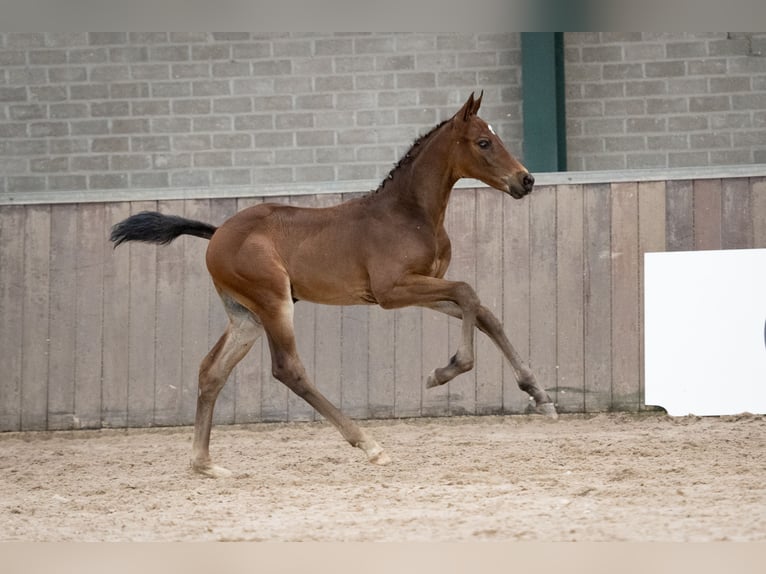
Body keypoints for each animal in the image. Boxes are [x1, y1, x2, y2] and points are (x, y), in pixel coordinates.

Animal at [112, 92, 560, 476]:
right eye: (484, 142)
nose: (526, 181)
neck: (408, 213)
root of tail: (219, 232)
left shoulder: (424, 285)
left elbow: (482, 310)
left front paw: (538, 394)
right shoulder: (391, 291)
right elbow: (468, 292)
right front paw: (445, 371)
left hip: (245, 317)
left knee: (211, 371)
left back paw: (205, 464)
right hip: (273, 302)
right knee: (288, 369)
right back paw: (369, 444)